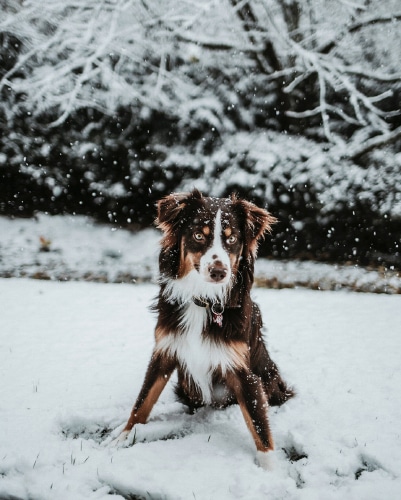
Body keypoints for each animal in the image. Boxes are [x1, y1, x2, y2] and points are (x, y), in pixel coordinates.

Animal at [112, 188, 294, 468]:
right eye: (199, 235)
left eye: (232, 239)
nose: (219, 272)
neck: (204, 300)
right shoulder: (164, 351)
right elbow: (143, 400)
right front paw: (124, 435)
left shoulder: (244, 370)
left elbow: (259, 423)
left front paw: (270, 468)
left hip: (268, 377)